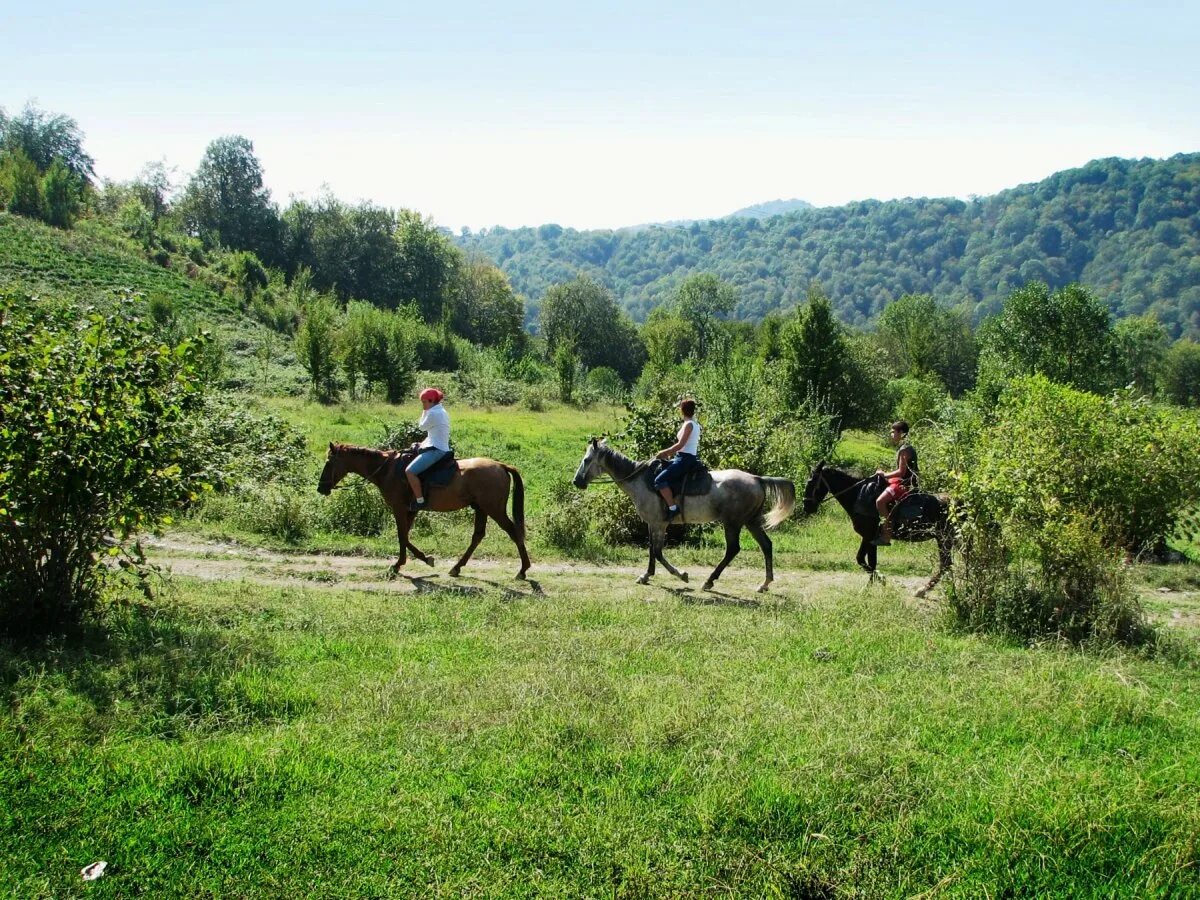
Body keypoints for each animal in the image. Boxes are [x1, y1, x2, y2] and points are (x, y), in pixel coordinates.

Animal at [319, 446, 530, 585]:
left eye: (329, 462)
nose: (320, 488)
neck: (387, 470)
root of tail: (500, 466)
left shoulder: (399, 508)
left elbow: (402, 536)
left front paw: (401, 564)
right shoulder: (411, 510)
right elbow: (405, 537)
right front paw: (417, 560)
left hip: (494, 509)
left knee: (514, 532)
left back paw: (523, 570)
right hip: (481, 508)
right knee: (478, 536)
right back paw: (457, 567)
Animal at [573, 436, 796, 592]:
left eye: (587, 459)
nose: (577, 482)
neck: (640, 480)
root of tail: (757, 479)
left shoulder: (659, 524)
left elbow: (658, 552)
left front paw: (681, 575)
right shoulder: (652, 523)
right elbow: (652, 550)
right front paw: (646, 576)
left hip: (733, 523)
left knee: (733, 549)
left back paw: (709, 581)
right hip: (751, 521)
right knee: (766, 545)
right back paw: (764, 584)